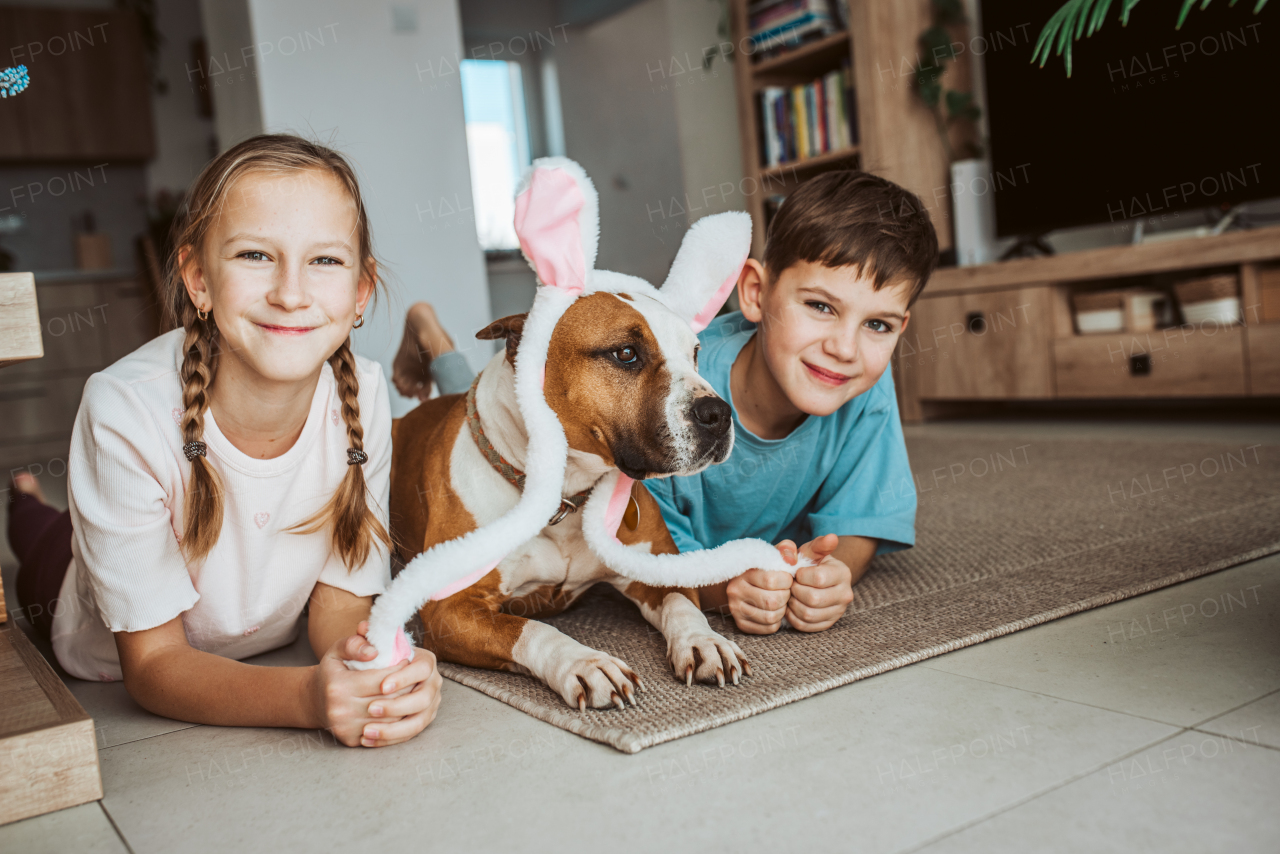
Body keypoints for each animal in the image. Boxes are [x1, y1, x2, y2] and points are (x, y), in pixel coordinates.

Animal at [389, 286, 747, 706]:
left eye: (694, 352)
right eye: (626, 353)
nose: (719, 413)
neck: (566, 496)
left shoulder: (661, 567)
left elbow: (682, 605)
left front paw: (706, 641)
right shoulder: (449, 611)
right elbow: (528, 629)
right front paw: (586, 663)